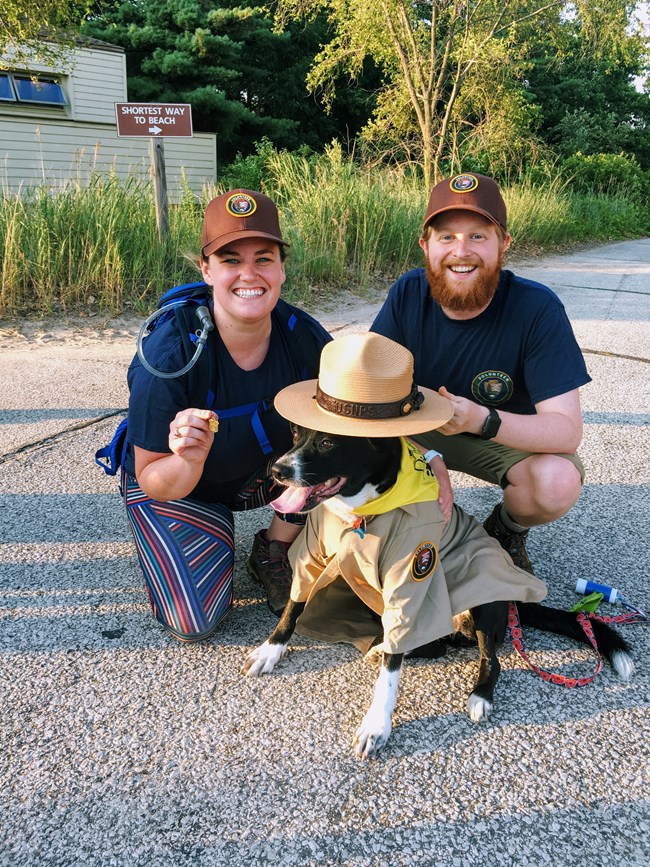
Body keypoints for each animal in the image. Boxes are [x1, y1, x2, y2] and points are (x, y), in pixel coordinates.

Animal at [240, 428, 632, 760]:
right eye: (296, 435)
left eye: (327, 442)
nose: (277, 470)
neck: (360, 512)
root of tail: (513, 605)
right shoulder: (312, 555)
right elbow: (292, 609)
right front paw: (270, 651)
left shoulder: (411, 572)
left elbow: (390, 676)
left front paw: (376, 725)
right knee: (427, 644)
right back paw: (383, 647)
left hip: (483, 593)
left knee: (485, 656)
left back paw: (479, 695)